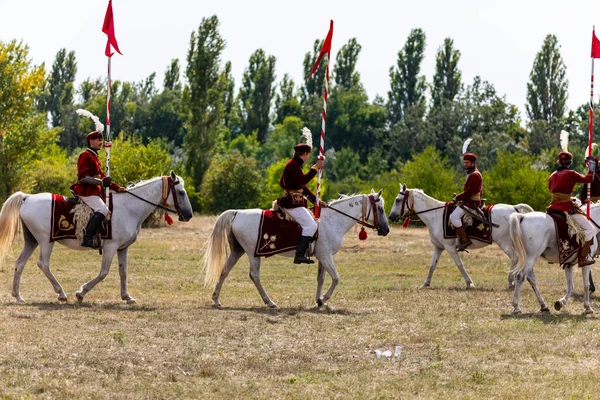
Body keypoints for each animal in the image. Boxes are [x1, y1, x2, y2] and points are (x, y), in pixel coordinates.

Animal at [0, 170, 192, 304]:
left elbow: (123, 271)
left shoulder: (123, 248)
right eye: (181, 192)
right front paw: (81, 292)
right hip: (46, 241)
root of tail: (27, 197)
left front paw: (127, 296)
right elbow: (103, 272)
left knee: (20, 263)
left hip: (31, 241)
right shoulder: (110, 247)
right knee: (43, 264)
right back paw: (61, 293)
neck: (129, 207)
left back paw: (18, 296)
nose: (189, 215)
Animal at [202, 189, 390, 308]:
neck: (331, 220)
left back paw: (216, 299)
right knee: (254, 275)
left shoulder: (322, 257)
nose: (386, 230)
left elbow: (321, 279)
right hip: (252, 253)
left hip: (238, 251)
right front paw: (324, 298)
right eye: (380, 208)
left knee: (224, 271)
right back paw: (269, 302)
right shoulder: (326, 256)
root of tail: (237, 213)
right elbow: (336, 278)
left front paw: (319, 300)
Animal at [390, 184, 536, 290]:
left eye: (397, 200)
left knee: (515, 257)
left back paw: (511, 282)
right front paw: (425, 284)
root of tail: (514, 209)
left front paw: (469, 283)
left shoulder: (449, 248)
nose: (391, 216)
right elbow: (432, 265)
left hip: (504, 243)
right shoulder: (439, 247)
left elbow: (460, 265)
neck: (435, 215)